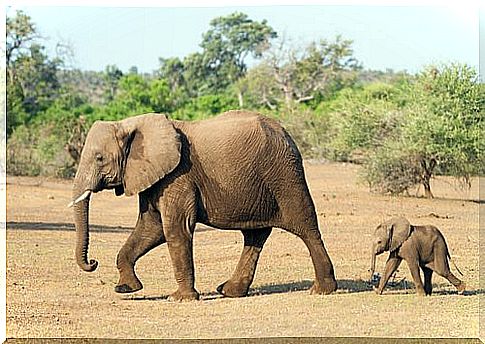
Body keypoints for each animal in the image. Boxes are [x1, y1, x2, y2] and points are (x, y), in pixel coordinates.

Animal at [71, 111, 336, 300]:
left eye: (99, 158)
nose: (93, 263)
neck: (131, 124)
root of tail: (286, 133)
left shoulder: (178, 176)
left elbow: (175, 229)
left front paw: (180, 298)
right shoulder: (153, 176)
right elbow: (150, 228)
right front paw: (126, 289)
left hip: (285, 175)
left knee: (306, 227)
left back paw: (322, 290)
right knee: (255, 236)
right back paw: (229, 291)